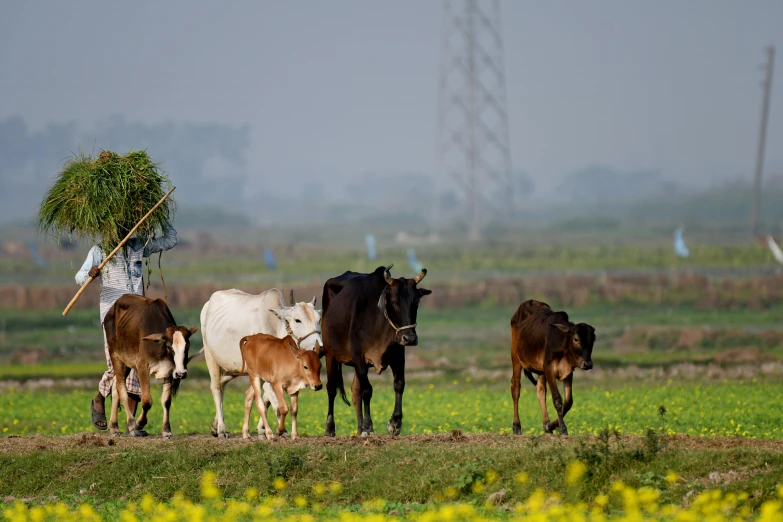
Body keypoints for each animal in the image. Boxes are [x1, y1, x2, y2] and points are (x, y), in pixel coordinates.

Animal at [103, 294, 199, 436]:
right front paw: (138, 424)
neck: (159, 348)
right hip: (115, 356)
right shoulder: (142, 368)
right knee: (120, 387)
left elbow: (166, 401)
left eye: (187, 346)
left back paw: (114, 427)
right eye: (169, 346)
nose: (181, 373)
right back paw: (130, 423)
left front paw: (166, 430)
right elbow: (147, 401)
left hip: (127, 364)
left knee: (115, 388)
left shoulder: (169, 371)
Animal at [205, 286, 324, 436]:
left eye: (319, 319)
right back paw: (221, 429)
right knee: (216, 389)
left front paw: (262, 430)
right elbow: (276, 404)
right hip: (210, 356)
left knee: (222, 386)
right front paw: (280, 431)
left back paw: (215, 426)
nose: (320, 348)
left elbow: (267, 400)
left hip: (231, 368)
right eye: (298, 320)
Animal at [324, 262, 434, 436]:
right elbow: (367, 390)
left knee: (355, 391)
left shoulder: (398, 356)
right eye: (394, 302)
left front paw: (395, 423)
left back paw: (359, 429)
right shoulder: (359, 357)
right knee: (332, 388)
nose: (410, 338)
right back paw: (330, 428)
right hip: (330, 354)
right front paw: (369, 427)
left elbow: (399, 384)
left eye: (416, 302)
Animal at [512, 298, 596, 432]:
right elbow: (557, 399)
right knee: (516, 389)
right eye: (576, 339)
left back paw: (546, 424)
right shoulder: (549, 368)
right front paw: (562, 428)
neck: (562, 341)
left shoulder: (568, 371)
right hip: (516, 358)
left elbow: (568, 401)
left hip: (540, 371)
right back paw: (516, 426)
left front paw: (552, 425)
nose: (587, 363)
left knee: (541, 390)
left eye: (593, 339)